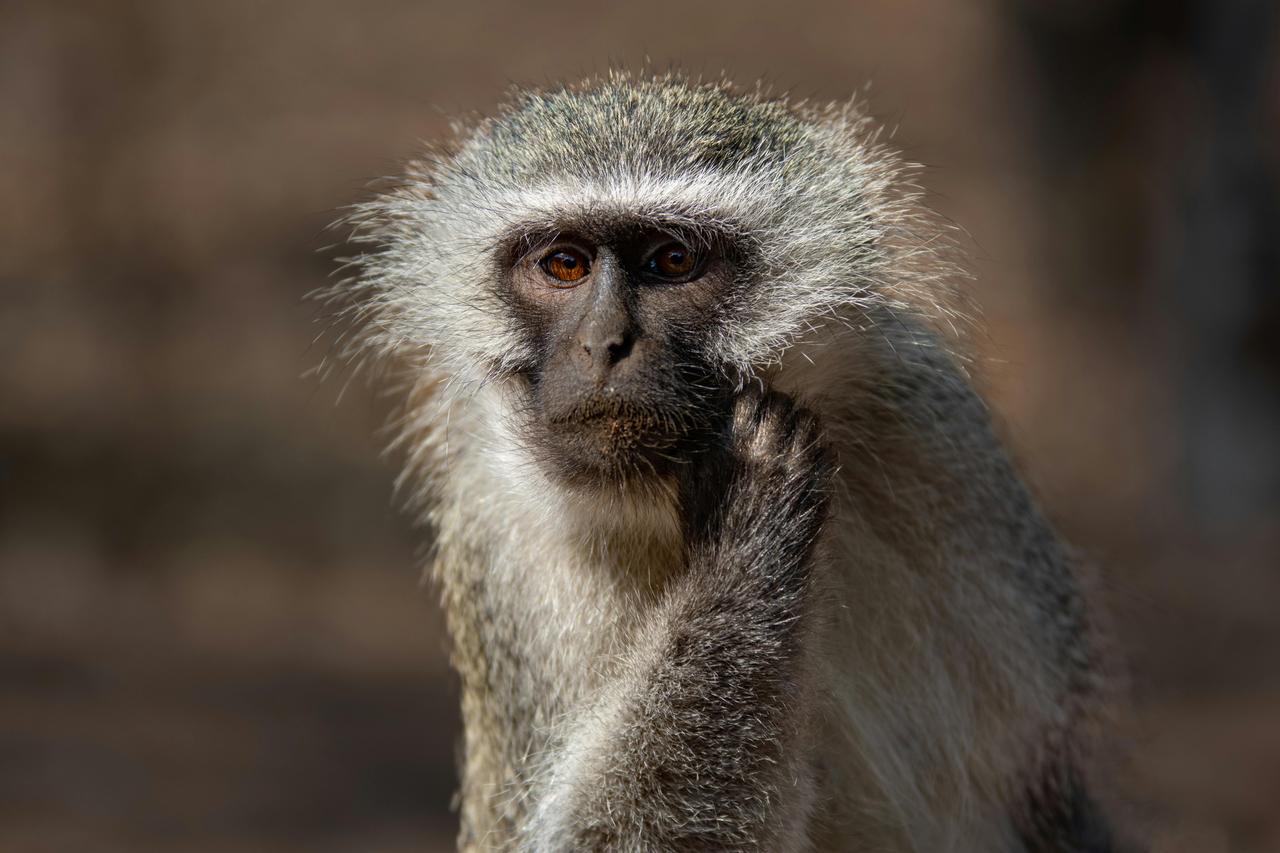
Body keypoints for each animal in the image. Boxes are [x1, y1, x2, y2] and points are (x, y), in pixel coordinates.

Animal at [328, 71, 1123, 852]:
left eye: (672, 260)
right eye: (564, 265)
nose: (604, 344)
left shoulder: (939, 447)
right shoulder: (503, 537)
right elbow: (597, 837)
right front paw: (750, 516)